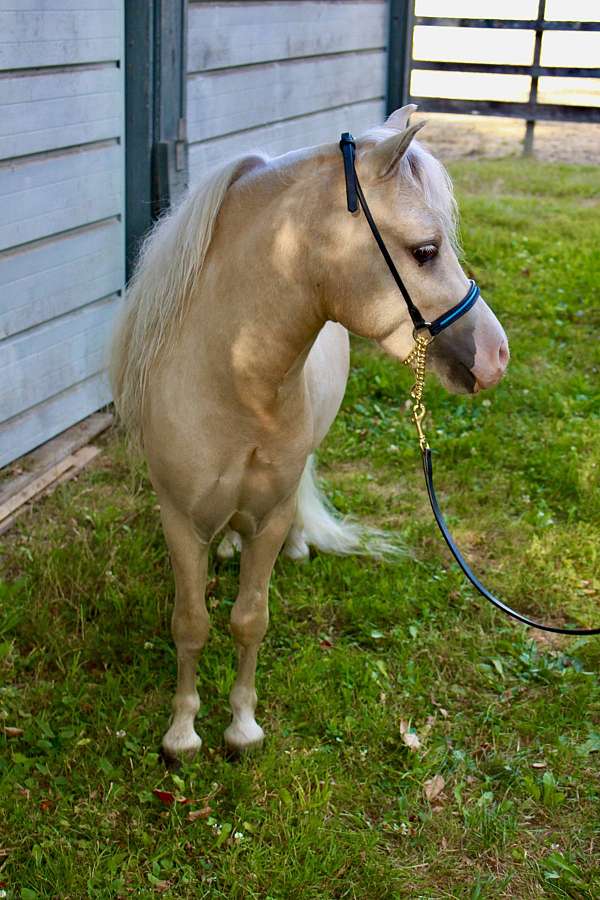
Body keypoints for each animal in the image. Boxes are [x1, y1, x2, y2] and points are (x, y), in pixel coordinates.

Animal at [111, 109, 506, 764]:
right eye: (425, 251)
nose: (497, 356)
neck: (232, 377)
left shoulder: (268, 515)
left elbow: (249, 620)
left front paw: (242, 727)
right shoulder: (180, 521)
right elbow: (190, 624)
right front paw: (182, 733)